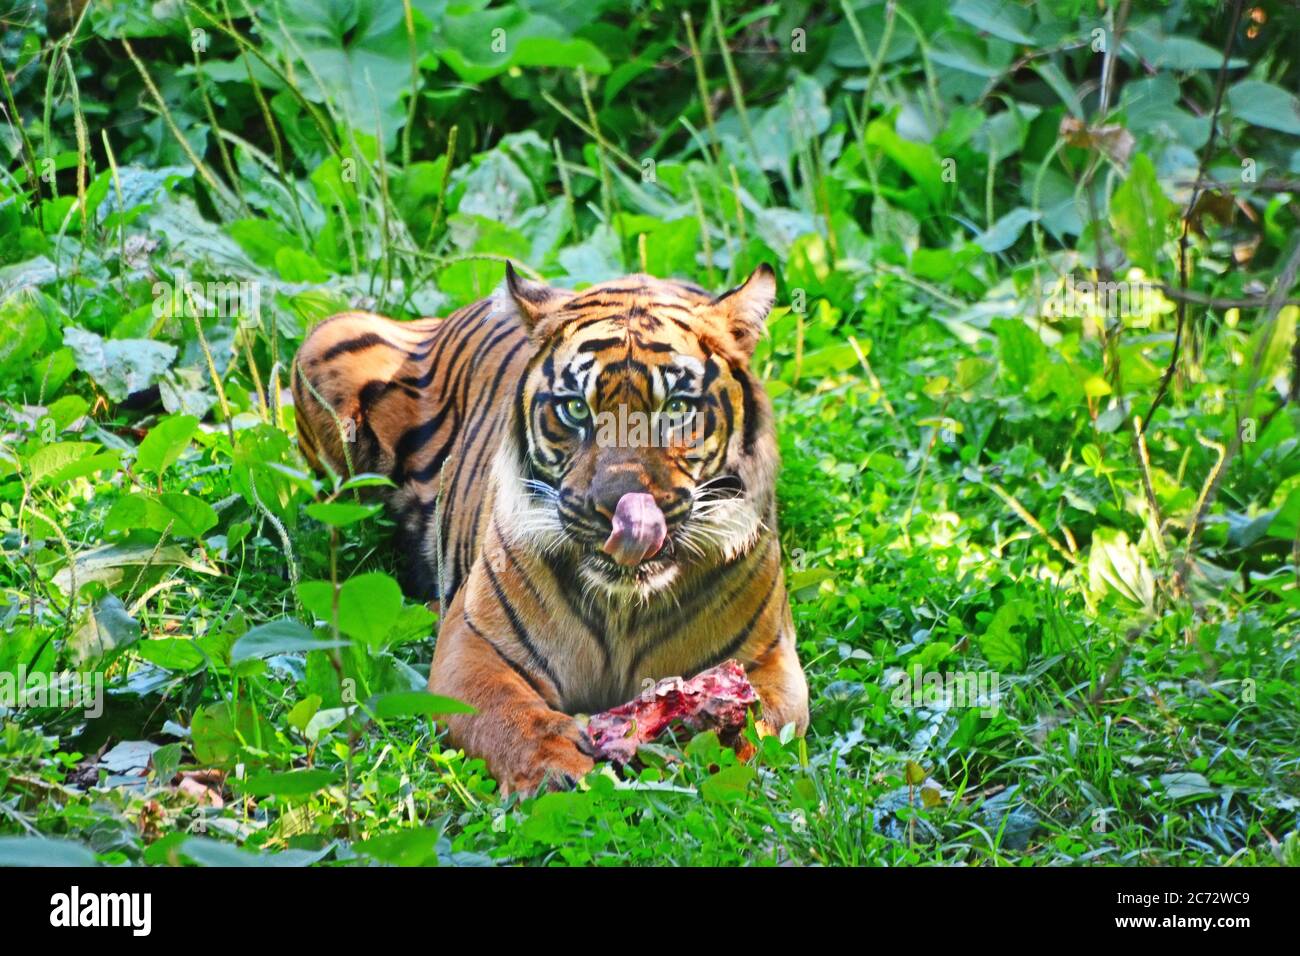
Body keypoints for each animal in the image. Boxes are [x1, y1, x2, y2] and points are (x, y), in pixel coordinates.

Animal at [291, 264, 809, 794]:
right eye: (575, 409)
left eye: (677, 408)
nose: (620, 513)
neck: (624, 611)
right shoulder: (474, 645)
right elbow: (504, 713)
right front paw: (554, 767)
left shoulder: (769, 660)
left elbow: (759, 723)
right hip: (332, 338)